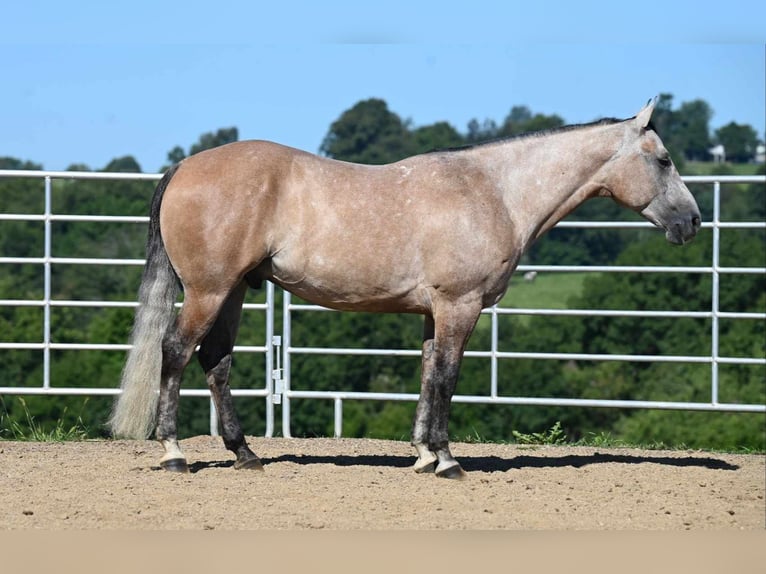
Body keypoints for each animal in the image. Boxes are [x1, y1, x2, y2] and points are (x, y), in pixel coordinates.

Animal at [108, 100, 704, 482]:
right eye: (664, 160)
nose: (692, 222)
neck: (494, 191)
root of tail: (185, 166)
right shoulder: (459, 305)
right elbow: (447, 378)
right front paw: (447, 461)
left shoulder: (432, 312)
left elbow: (426, 375)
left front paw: (421, 456)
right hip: (209, 290)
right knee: (176, 351)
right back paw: (175, 453)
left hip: (231, 292)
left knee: (216, 361)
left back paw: (245, 454)